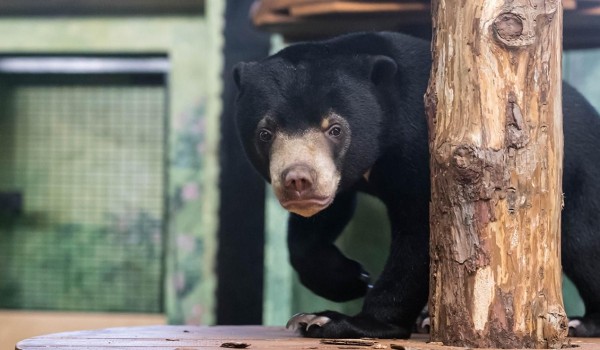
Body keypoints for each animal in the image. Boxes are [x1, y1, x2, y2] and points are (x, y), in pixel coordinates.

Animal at [231, 31, 600, 338]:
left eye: (335, 128)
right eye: (265, 133)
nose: (298, 179)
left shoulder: (424, 149)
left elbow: (421, 236)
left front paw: (336, 321)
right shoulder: (342, 180)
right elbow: (319, 224)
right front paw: (348, 280)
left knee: (583, 242)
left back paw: (582, 323)